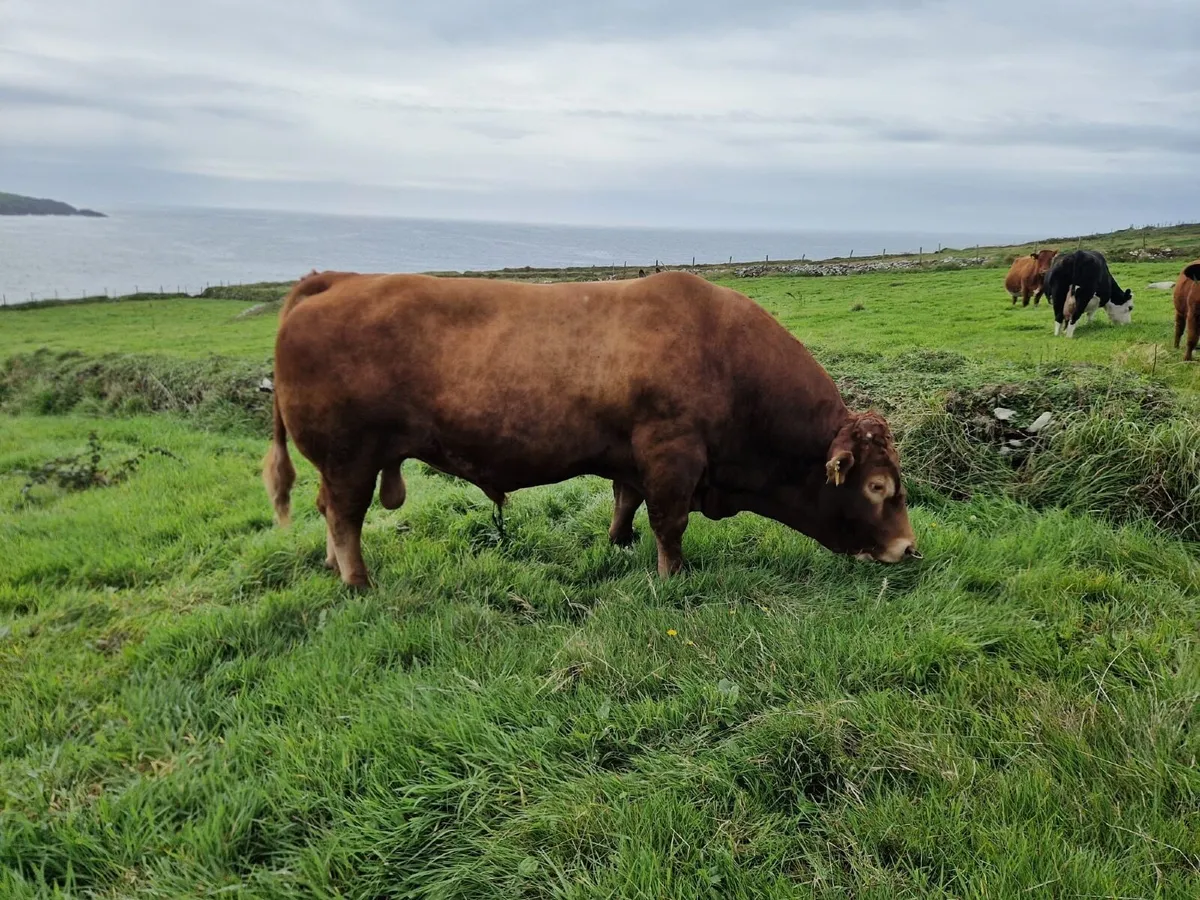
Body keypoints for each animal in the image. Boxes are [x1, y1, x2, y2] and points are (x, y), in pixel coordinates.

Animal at [263, 270, 920, 587]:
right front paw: (673, 575)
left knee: (327, 509)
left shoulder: (632, 457)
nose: (909, 548)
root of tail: (338, 278)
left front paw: (619, 544)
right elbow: (669, 522)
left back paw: (333, 569)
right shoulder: (672, 455)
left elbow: (626, 502)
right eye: (878, 487)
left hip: (345, 461)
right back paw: (357, 582)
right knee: (344, 515)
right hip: (349, 456)